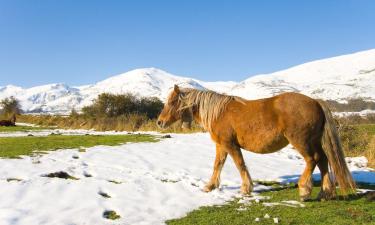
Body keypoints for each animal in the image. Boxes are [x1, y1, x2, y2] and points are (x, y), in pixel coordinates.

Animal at [157, 85, 356, 201]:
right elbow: (217, 165)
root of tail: (315, 101)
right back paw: (325, 193)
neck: (219, 112)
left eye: (172, 101)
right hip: (313, 141)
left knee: (312, 160)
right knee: (322, 160)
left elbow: (240, 164)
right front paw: (210, 186)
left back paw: (304, 191)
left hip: (301, 141)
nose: (160, 122)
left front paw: (246, 188)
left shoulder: (230, 145)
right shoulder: (221, 145)